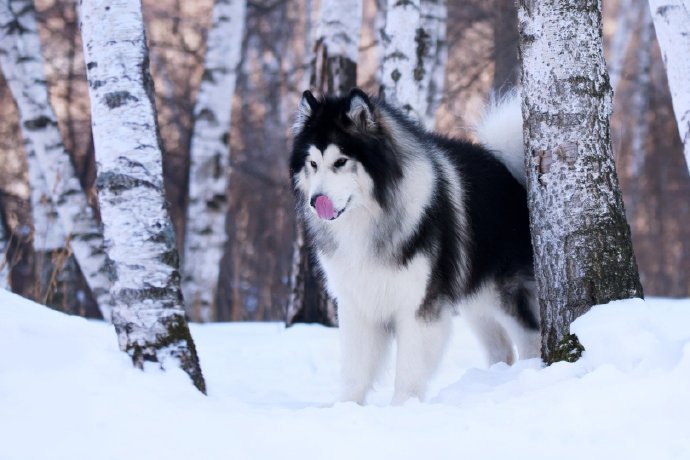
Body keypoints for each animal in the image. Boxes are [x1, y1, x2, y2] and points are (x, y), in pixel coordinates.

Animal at [288, 88, 536, 404]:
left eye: (341, 162)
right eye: (313, 164)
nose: (315, 201)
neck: (370, 218)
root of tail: (513, 173)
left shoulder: (419, 305)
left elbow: (409, 368)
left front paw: (403, 406)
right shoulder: (357, 302)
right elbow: (355, 368)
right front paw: (346, 407)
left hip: (504, 293)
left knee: (531, 337)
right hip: (475, 296)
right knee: (501, 348)